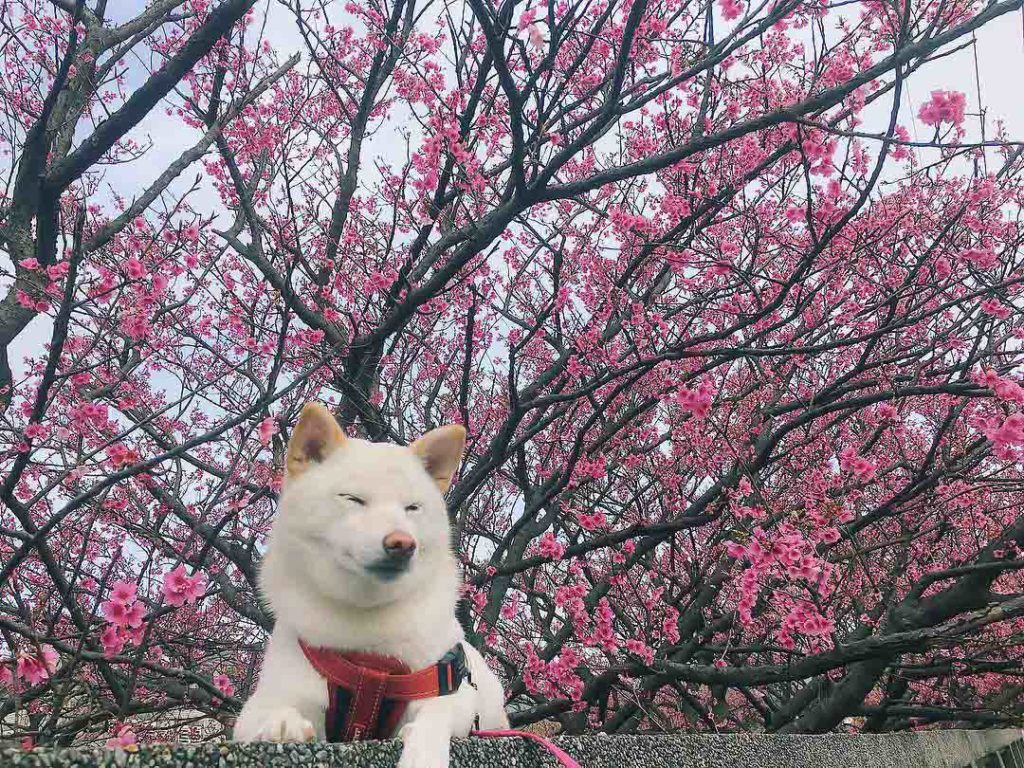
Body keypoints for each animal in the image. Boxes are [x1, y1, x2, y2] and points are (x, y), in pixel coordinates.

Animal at [234, 403, 509, 768]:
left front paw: (422, 754)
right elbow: (269, 711)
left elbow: (435, 716)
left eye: (412, 508)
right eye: (353, 499)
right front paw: (281, 723)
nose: (402, 544)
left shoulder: (446, 690)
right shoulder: (267, 700)